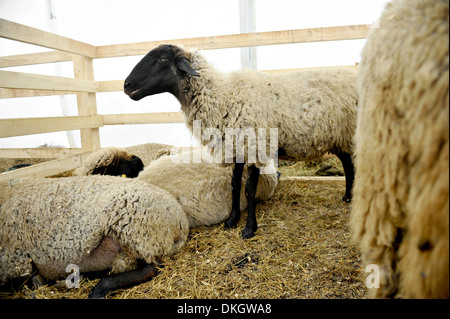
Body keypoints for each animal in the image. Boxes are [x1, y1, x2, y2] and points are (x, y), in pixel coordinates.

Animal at [124, 45, 358, 240]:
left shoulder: (254, 147)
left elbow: (249, 190)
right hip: (339, 136)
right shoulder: (235, 148)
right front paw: (232, 220)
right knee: (347, 164)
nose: (127, 85)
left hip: (350, 133)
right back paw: (347, 197)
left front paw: (249, 228)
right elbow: (235, 185)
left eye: (163, 58)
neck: (221, 97)